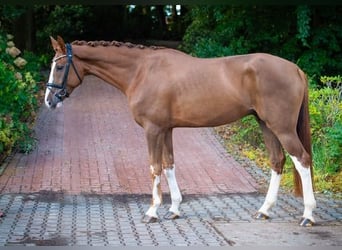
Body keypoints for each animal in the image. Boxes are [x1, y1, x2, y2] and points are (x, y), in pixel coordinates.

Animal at [44, 36, 316, 227]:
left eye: (60, 67)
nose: (49, 100)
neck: (141, 71)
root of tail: (295, 69)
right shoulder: (166, 130)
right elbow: (169, 165)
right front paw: (173, 209)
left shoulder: (153, 130)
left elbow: (154, 167)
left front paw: (152, 212)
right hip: (265, 125)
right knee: (277, 161)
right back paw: (264, 210)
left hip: (282, 128)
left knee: (302, 160)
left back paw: (308, 215)